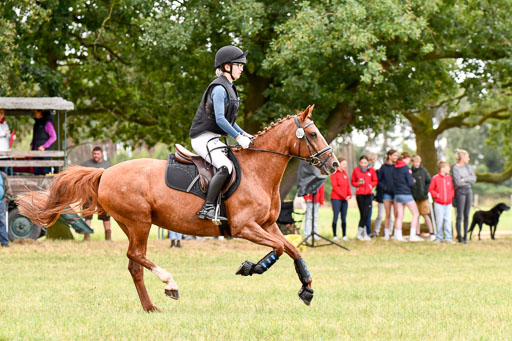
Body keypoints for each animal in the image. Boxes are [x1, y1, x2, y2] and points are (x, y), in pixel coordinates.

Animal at [18, 106, 340, 310]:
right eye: (312, 134)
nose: (334, 164)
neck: (258, 171)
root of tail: (105, 172)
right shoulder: (245, 227)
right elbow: (279, 248)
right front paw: (251, 268)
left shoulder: (268, 225)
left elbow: (292, 248)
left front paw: (307, 289)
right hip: (140, 222)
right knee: (137, 256)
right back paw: (169, 283)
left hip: (130, 223)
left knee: (134, 263)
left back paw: (150, 306)